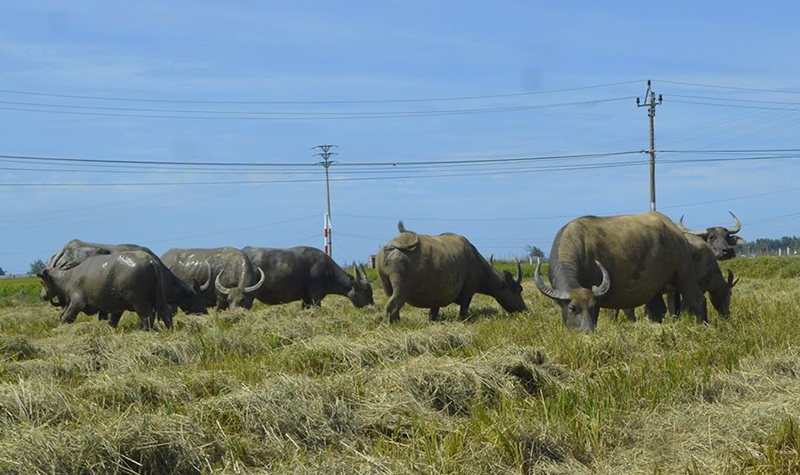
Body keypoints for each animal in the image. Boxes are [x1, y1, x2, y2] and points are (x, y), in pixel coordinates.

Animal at [37, 251, 172, 330]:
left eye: (42, 282)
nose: (42, 296)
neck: (69, 277)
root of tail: (150, 261)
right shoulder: (110, 308)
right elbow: (110, 320)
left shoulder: (76, 303)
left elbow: (66, 317)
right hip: (157, 296)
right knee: (166, 313)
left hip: (138, 300)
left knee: (148, 315)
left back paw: (145, 330)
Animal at [376, 223, 528, 324]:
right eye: (518, 290)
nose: (524, 309)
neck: (474, 260)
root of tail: (391, 246)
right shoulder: (468, 292)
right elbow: (464, 310)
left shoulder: (436, 298)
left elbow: (433, 313)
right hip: (401, 291)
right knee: (392, 307)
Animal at [536, 214, 708, 332]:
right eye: (572, 308)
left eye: (592, 307)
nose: (587, 331)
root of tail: (677, 232)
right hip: (656, 289)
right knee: (658, 310)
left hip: (684, 275)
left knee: (698, 301)